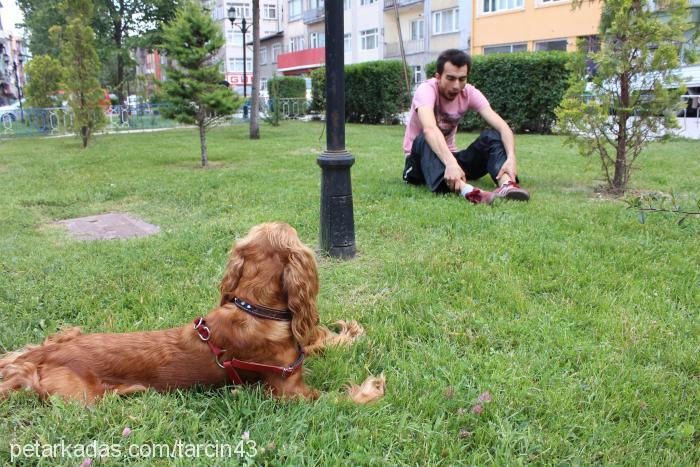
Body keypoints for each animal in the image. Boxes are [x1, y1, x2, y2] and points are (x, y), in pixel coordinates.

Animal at [0, 222, 370, 402]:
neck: (253, 307)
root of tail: (47, 354)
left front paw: (348, 332)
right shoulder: (287, 389)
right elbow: (341, 400)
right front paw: (370, 388)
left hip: (64, 337)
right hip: (81, 398)